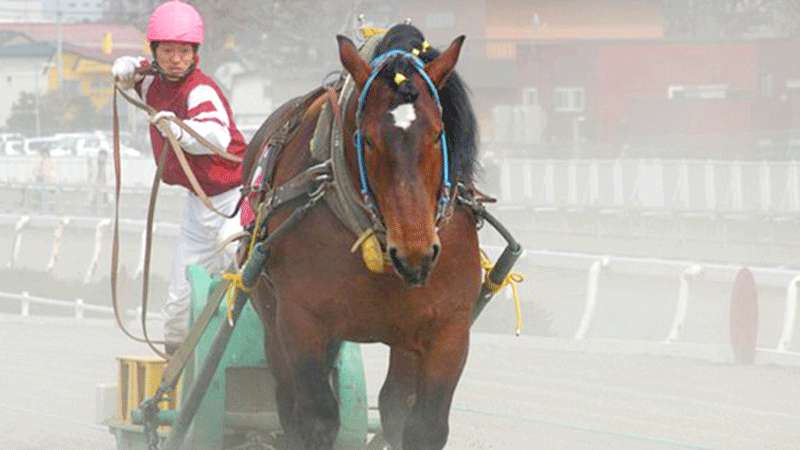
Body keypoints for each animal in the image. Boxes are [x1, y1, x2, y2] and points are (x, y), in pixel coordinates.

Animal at [247, 25, 482, 450]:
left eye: (437, 134)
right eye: (368, 139)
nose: (415, 253)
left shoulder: (449, 328)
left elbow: (424, 424)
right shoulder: (301, 321)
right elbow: (316, 418)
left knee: (393, 400)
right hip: (270, 314)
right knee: (288, 397)